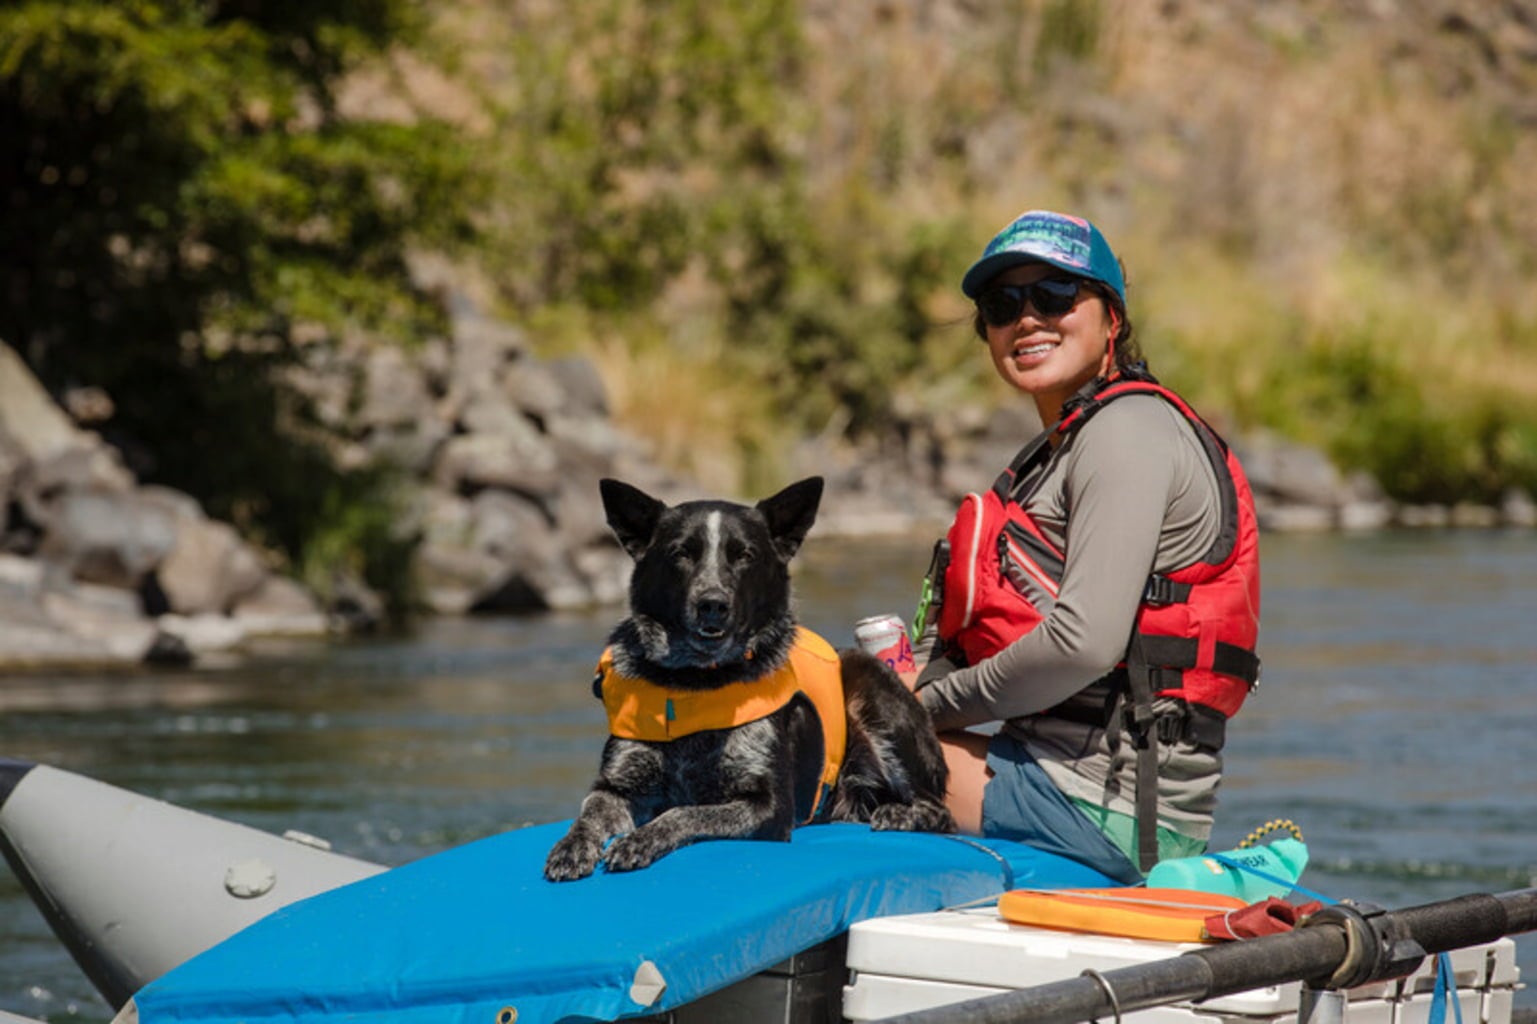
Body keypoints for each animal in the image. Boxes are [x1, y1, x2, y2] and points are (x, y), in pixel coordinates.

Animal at [544, 476, 955, 881]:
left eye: (744, 555)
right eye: (681, 553)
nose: (712, 604)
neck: (696, 682)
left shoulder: (768, 805)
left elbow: (685, 813)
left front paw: (640, 840)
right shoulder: (618, 785)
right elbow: (589, 810)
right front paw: (571, 847)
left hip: (869, 684)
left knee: (941, 813)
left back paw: (901, 813)